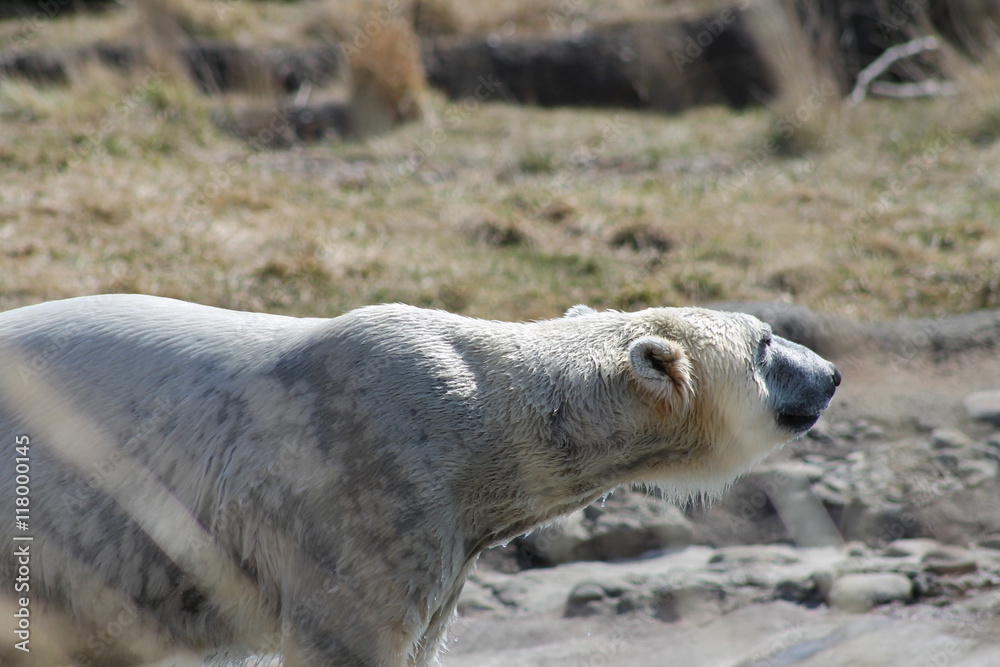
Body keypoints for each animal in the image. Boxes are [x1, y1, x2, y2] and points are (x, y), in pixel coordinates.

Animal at [0, 294, 839, 666]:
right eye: (767, 342)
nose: (831, 373)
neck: (481, 414)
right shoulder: (366, 476)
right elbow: (349, 632)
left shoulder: (449, 536)